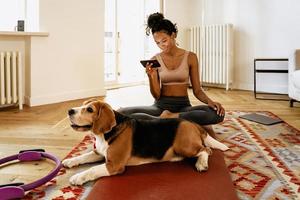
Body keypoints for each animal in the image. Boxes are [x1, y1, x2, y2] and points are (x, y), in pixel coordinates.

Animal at [62, 99, 227, 185]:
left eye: (89, 109)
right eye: (83, 105)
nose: (69, 111)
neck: (104, 135)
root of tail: (192, 124)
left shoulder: (114, 165)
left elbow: (92, 169)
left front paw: (78, 177)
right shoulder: (99, 153)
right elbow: (84, 156)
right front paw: (70, 160)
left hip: (185, 146)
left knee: (206, 150)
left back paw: (201, 164)